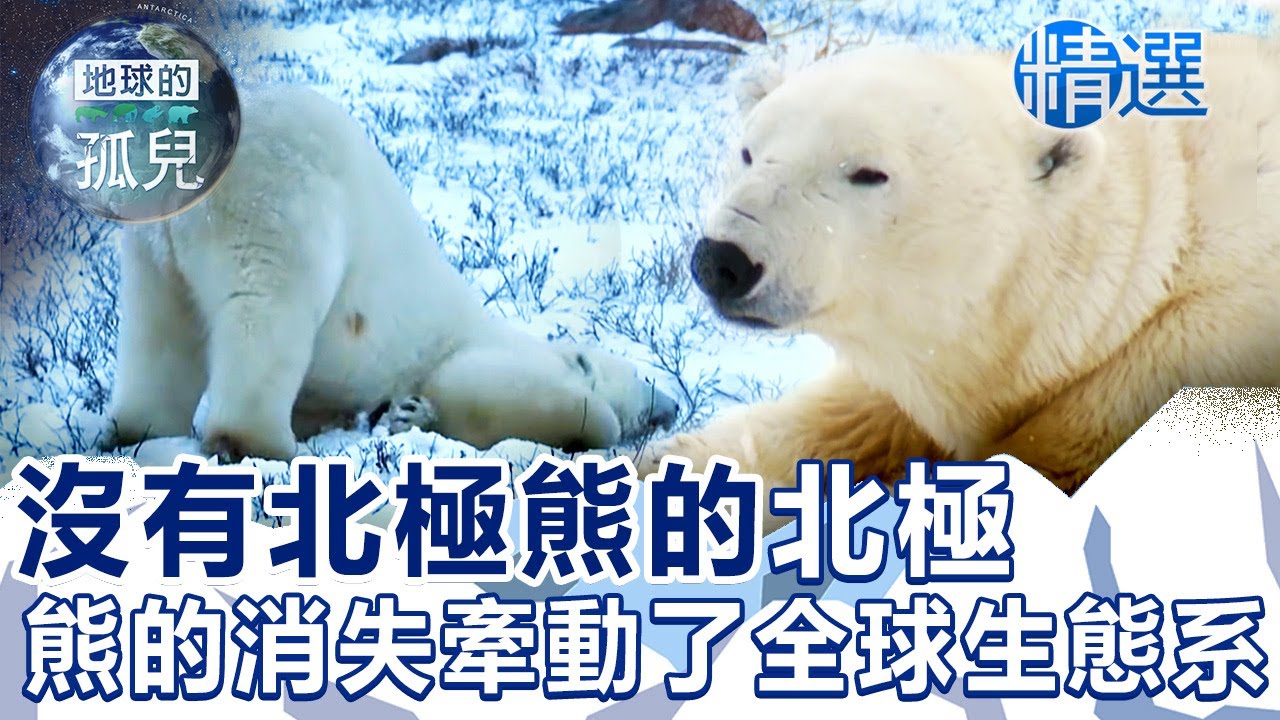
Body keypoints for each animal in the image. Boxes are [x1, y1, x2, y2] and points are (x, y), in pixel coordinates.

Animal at [105, 85, 678, 461]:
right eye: (644, 378)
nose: (673, 406)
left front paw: (390, 415)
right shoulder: (482, 357)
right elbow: (482, 390)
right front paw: (416, 413)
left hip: (152, 236)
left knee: (158, 328)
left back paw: (140, 431)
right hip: (279, 202)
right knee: (267, 308)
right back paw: (262, 444)